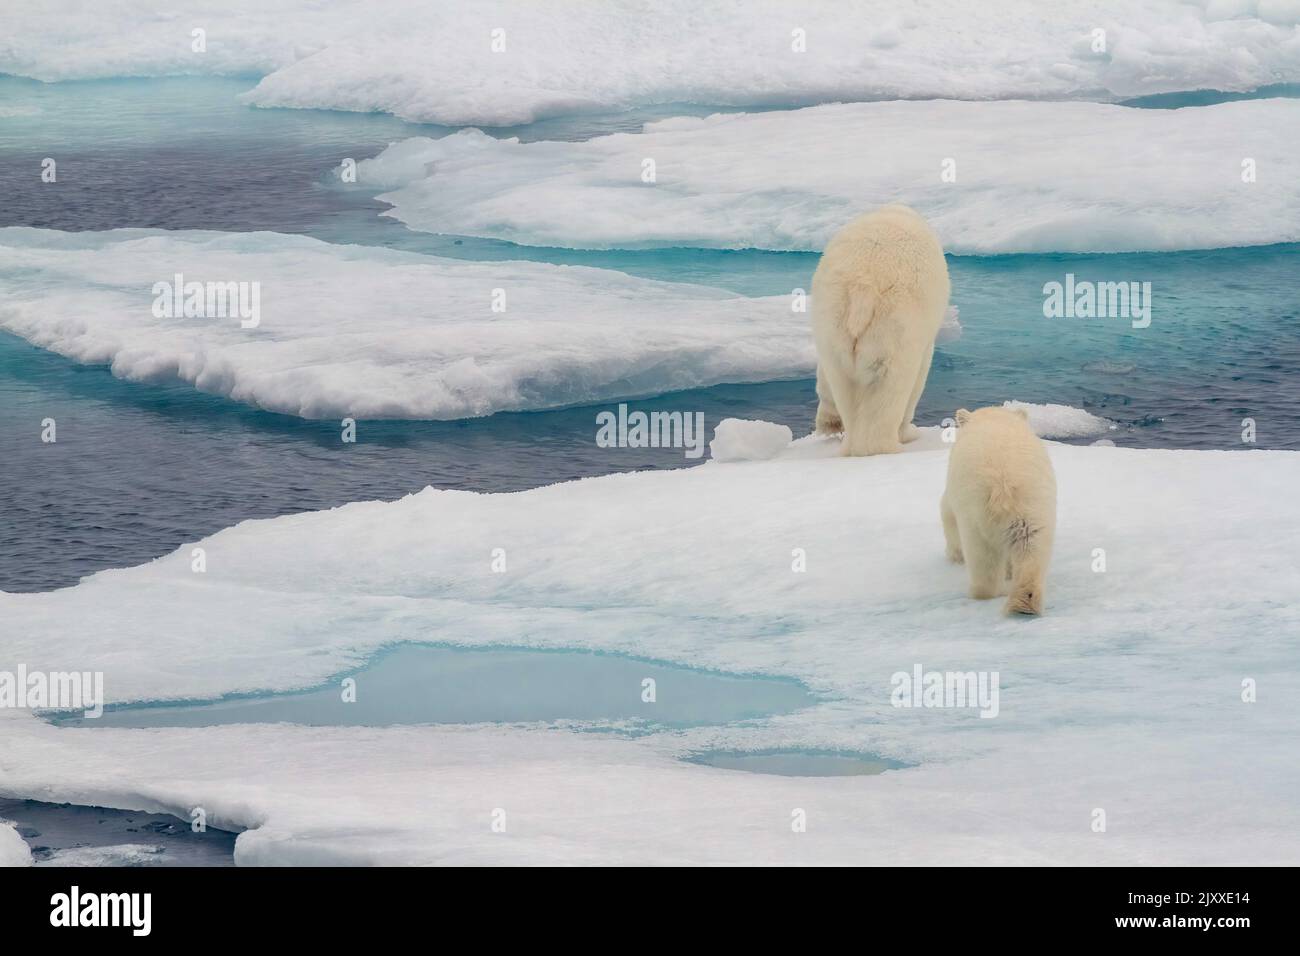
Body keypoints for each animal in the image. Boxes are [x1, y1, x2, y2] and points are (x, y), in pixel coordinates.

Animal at [806, 204, 951, 455]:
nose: (828, 425)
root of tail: (862, 284)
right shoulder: (924, 336)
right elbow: (919, 376)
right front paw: (910, 431)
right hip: (894, 323)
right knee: (890, 384)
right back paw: (887, 446)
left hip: (832, 320)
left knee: (844, 384)